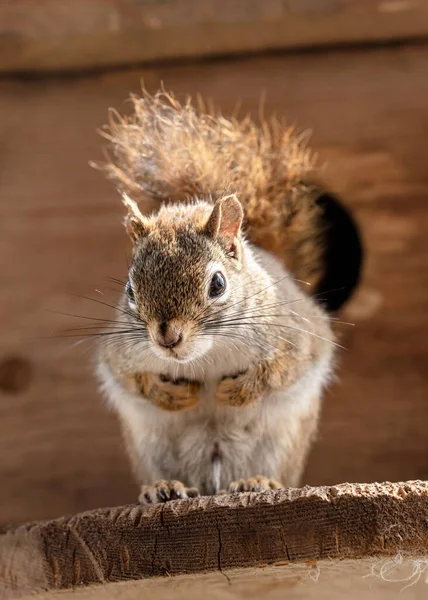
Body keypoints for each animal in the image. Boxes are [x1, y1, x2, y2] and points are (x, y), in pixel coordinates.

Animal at [95, 89, 336, 502]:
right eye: (130, 289)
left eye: (218, 284)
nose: (167, 338)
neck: (206, 356)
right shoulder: (119, 353)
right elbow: (130, 378)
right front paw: (168, 393)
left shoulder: (297, 337)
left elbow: (283, 369)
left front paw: (237, 391)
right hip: (151, 446)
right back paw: (164, 487)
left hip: (280, 442)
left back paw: (257, 481)